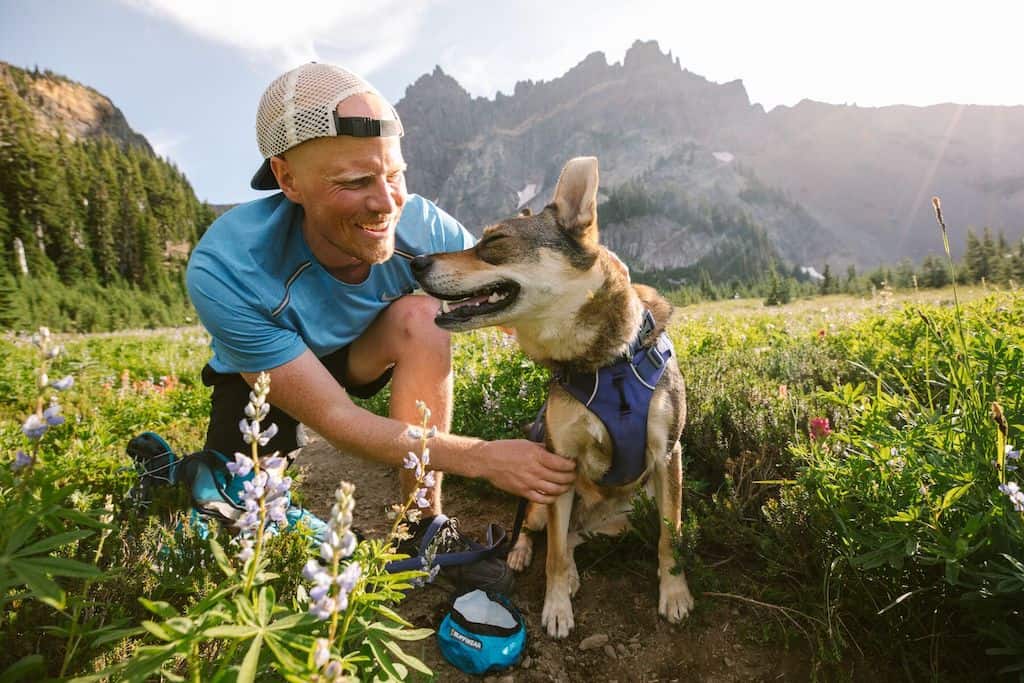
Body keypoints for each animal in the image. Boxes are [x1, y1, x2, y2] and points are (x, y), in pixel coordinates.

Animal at [411, 157, 692, 638]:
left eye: (495, 242)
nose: (416, 261)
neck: (605, 364)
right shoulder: (559, 463)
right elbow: (555, 557)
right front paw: (557, 607)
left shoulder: (667, 454)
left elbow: (668, 537)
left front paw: (674, 593)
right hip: (543, 498)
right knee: (538, 530)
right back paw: (521, 553)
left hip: (625, 516)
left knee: (576, 537)